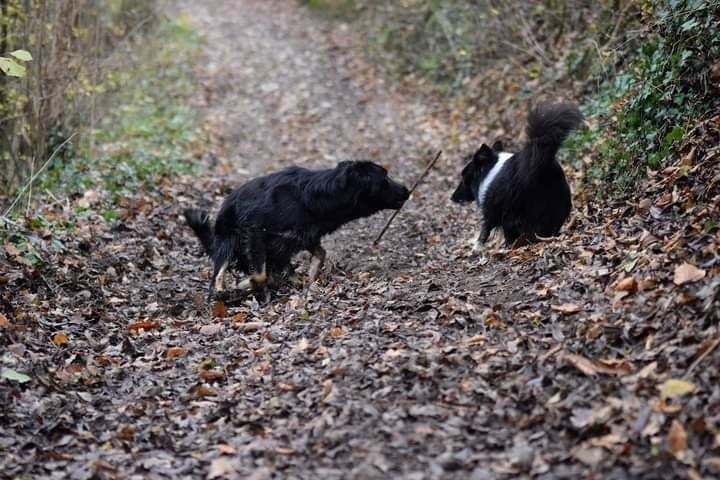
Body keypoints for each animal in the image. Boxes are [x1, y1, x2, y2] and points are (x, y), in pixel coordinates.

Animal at [186, 160, 410, 296]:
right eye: (384, 179)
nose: (407, 190)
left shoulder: (304, 237)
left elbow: (320, 254)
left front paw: (308, 280)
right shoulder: (255, 230)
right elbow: (260, 275)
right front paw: (244, 285)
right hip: (229, 240)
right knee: (219, 274)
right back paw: (223, 291)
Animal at [452, 103, 584, 249]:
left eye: (464, 178)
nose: (452, 197)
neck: (489, 169)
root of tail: (539, 161)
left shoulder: (491, 211)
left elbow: (485, 229)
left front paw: (478, 246)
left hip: (514, 211)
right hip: (556, 202)